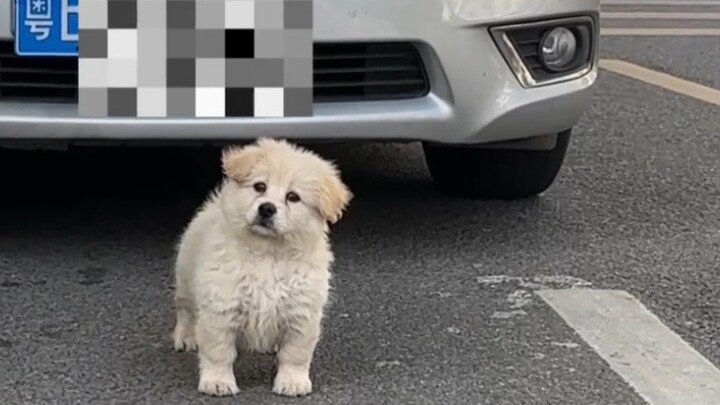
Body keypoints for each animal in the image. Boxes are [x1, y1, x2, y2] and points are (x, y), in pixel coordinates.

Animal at [171, 138, 352, 397]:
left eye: (293, 197)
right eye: (259, 187)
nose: (266, 208)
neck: (267, 253)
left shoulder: (301, 314)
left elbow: (295, 354)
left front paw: (292, 382)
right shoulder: (220, 308)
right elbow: (219, 352)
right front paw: (217, 382)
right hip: (185, 279)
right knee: (185, 311)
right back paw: (186, 337)